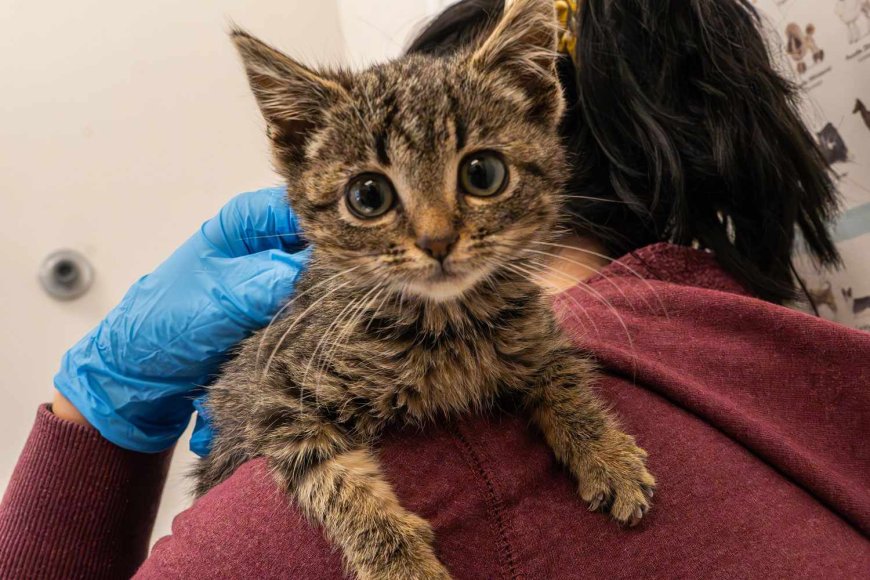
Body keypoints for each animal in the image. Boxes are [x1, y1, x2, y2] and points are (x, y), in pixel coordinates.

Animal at [196, 1, 656, 576]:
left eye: (483, 173)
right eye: (367, 195)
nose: (437, 241)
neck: (447, 322)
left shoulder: (534, 326)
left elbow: (562, 370)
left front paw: (607, 452)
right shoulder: (269, 398)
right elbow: (335, 481)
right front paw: (401, 562)